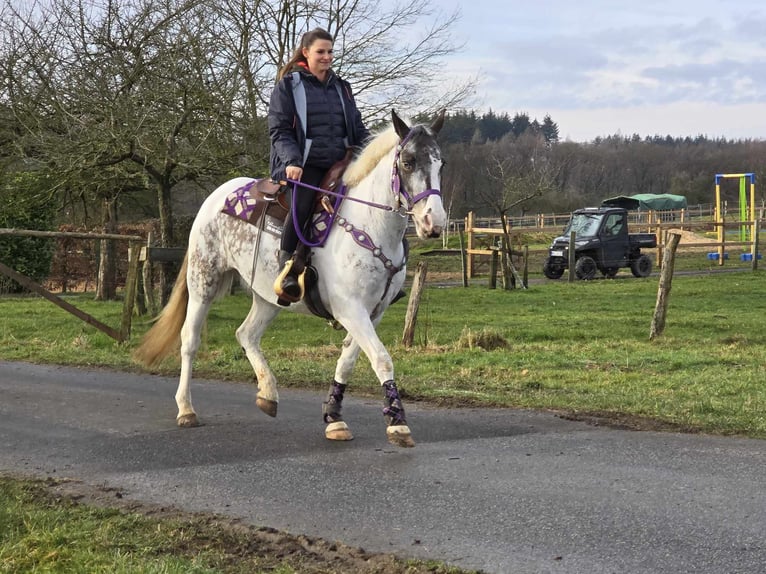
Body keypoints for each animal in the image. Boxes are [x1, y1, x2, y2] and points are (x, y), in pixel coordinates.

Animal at [134, 110, 448, 448]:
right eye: (408, 162)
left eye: (440, 164)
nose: (434, 222)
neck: (370, 225)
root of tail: (217, 195)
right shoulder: (350, 309)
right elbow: (381, 358)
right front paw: (398, 424)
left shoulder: (372, 312)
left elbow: (348, 360)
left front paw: (334, 418)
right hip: (202, 281)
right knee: (190, 341)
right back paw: (186, 409)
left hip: (268, 297)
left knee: (246, 335)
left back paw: (268, 394)